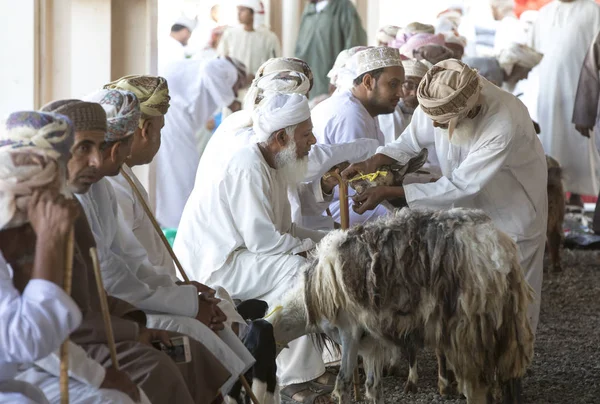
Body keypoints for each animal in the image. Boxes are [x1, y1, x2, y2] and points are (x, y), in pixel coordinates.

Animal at [268, 208, 536, 404]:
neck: (308, 299)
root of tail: (499, 247)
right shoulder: (370, 342)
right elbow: (373, 386)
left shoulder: (349, 333)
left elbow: (342, 385)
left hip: (469, 330)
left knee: (476, 387)